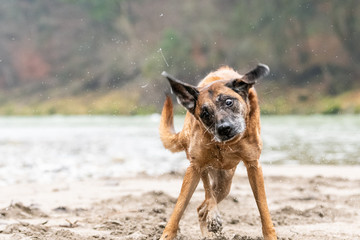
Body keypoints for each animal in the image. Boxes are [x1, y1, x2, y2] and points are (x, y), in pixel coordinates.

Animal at [159, 64, 278, 240]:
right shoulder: (195, 166)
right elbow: (179, 208)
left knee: (202, 208)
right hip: (203, 167)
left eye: (228, 102)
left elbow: (263, 208)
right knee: (205, 201)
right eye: (205, 113)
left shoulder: (253, 165)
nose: (224, 128)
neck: (227, 144)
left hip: (225, 183)